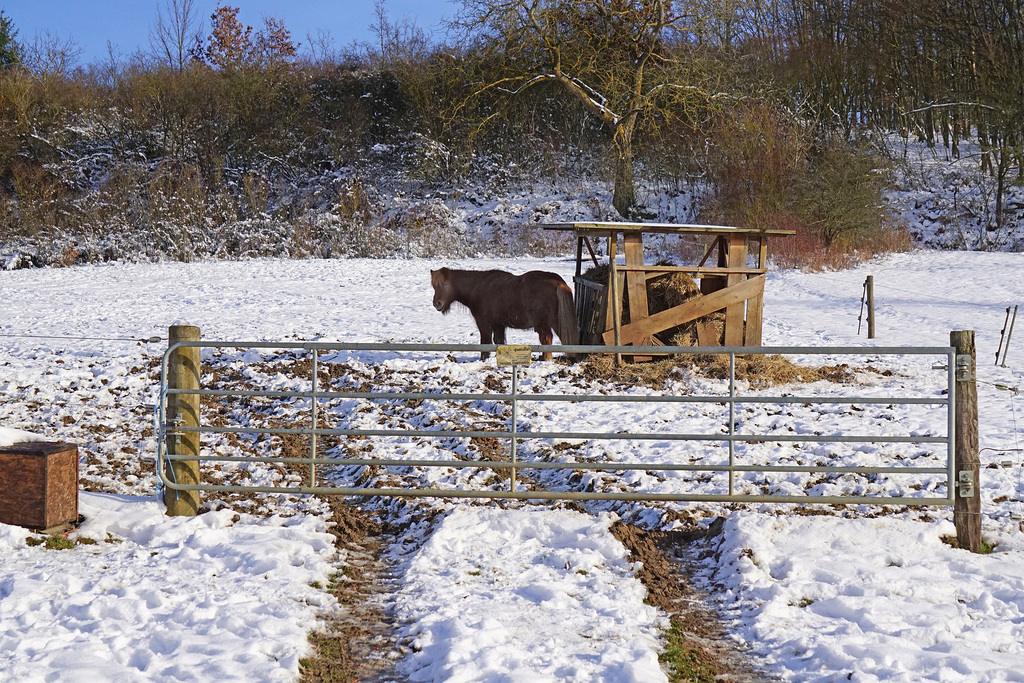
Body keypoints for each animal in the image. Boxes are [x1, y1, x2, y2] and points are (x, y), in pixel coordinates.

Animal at [430, 268, 581, 362]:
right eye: (434, 286)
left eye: (445, 284)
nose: (437, 303)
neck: (477, 287)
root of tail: (559, 282)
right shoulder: (499, 325)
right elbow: (499, 342)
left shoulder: (484, 323)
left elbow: (485, 343)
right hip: (556, 323)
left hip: (543, 325)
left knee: (546, 339)